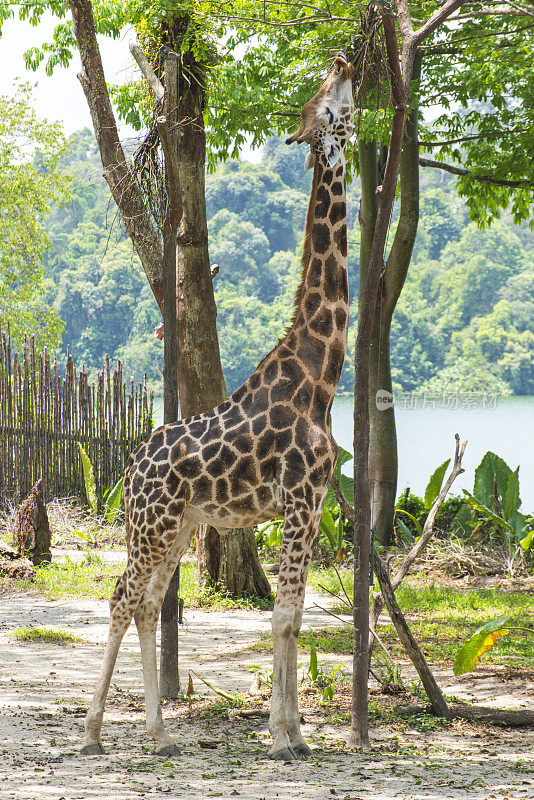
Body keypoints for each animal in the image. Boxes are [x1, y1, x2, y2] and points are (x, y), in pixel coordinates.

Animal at [80, 56, 356, 764]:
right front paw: (281, 737)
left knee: (147, 603)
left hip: (176, 527)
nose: (345, 60)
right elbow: (284, 617)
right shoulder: (299, 501)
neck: (319, 375)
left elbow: (295, 616)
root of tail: (129, 469)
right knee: (121, 598)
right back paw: (94, 731)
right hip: (152, 527)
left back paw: (156, 731)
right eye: (327, 101)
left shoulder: (313, 505)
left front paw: (295, 733)